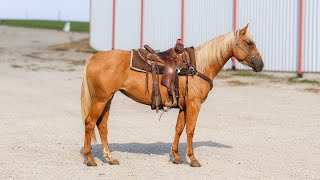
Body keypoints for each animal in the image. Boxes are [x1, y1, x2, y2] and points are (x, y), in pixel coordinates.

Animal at [81, 23, 264, 167]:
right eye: (249, 43)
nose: (261, 65)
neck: (199, 66)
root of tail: (92, 58)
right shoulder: (194, 104)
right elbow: (190, 130)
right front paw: (192, 159)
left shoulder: (183, 106)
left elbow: (179, 129)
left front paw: (176, 156)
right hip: (100, 100)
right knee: (90, 123)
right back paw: (90, 159)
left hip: (107, 99)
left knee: (102, 126)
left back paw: (110, 158)